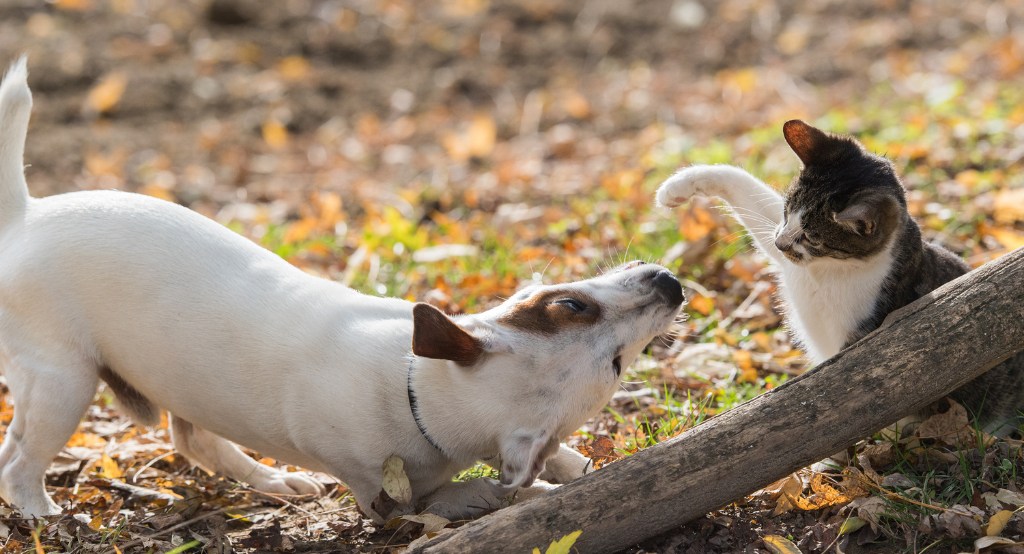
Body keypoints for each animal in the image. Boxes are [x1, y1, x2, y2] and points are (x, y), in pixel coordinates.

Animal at [0, 58, 688, 520]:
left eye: (614, 359)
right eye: (571, 306)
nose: (672, 282)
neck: (416, 392)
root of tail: (23, 217)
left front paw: (573, 466)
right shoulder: (385, 500)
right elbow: (459, 494)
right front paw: (516, 490)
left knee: (191, 438)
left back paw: (274, 483)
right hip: (63, 384)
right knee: (17, 464)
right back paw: (40, 514)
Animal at [655, 120, 1024, 436]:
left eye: (813, 238)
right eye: (788, 211)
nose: (782, 242)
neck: (826, 271)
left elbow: (842, 397)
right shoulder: (788, 258)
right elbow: (745, 189)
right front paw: (678, 186)